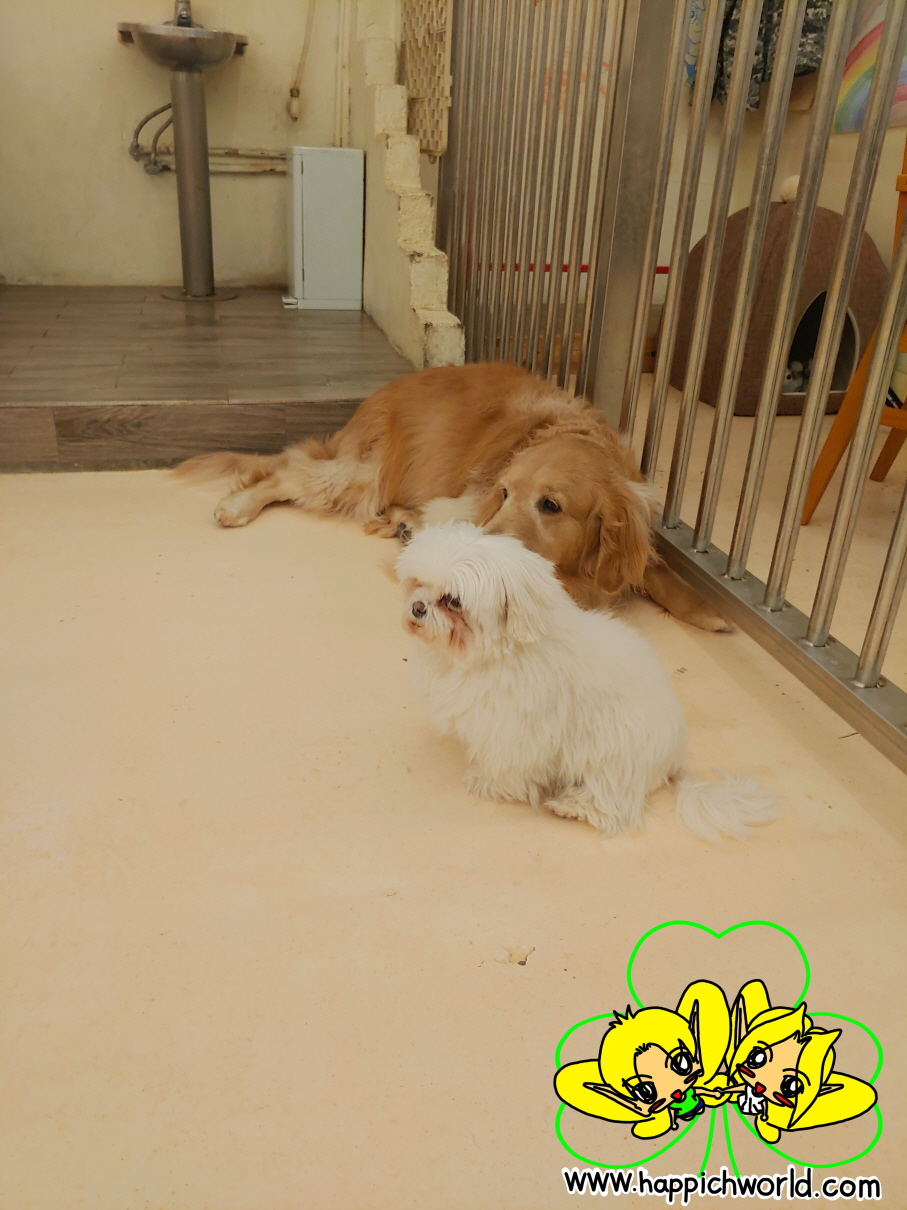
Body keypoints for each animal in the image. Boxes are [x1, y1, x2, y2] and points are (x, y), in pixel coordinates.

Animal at [174, 362, 729, 632]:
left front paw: (706, 609)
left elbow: (653, 569)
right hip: (365, 473)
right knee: (287, 471)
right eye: (503, 492)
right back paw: (238, 507)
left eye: (550, 505)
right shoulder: (460, 509)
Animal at [397, 523, 777, 840]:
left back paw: (570, 806)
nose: (417, 607)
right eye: (419, 583)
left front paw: (486, 783)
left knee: (613, 804)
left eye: (453, 601)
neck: (503, 649)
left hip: (613, 752)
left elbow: (506, 763)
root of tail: (674, 758)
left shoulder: (518, 729)